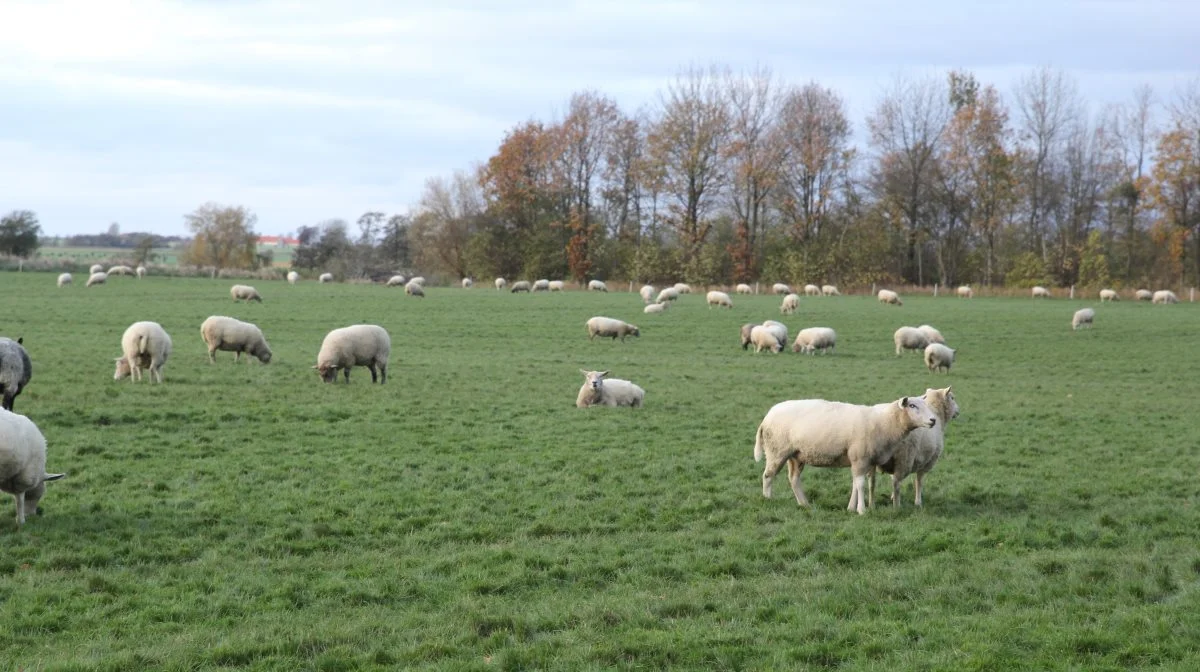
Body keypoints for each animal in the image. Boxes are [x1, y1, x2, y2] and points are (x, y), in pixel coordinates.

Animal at [753, 393, 940, 513]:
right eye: (912, 406)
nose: (933, 420)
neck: (884, 423)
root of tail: (767, 416)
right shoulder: (860, 457)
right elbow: (860, 484)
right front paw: (862, 510)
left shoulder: (865, 460)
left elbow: (857, 484)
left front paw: (851, 508)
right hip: (777, 450)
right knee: (768, 476)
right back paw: (768, 500)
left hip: (796, 455)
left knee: (793, 479)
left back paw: (804, 504)